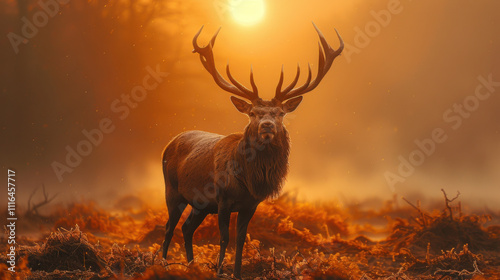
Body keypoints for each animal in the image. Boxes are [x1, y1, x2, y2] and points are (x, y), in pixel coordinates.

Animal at [162, 23, 342, 278]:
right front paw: (220, 272)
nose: (267, 125)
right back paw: (162, 263)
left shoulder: (251, 204)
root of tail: (169, 143)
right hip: (172, 190)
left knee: (187, 228)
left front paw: (237, 273)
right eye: (253, 113)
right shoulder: (223, 199)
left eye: (280, 113)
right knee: (169, 226)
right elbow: (224, 238)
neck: (247, 180)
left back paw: (191, 266)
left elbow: (240, 240)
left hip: (200, 204)